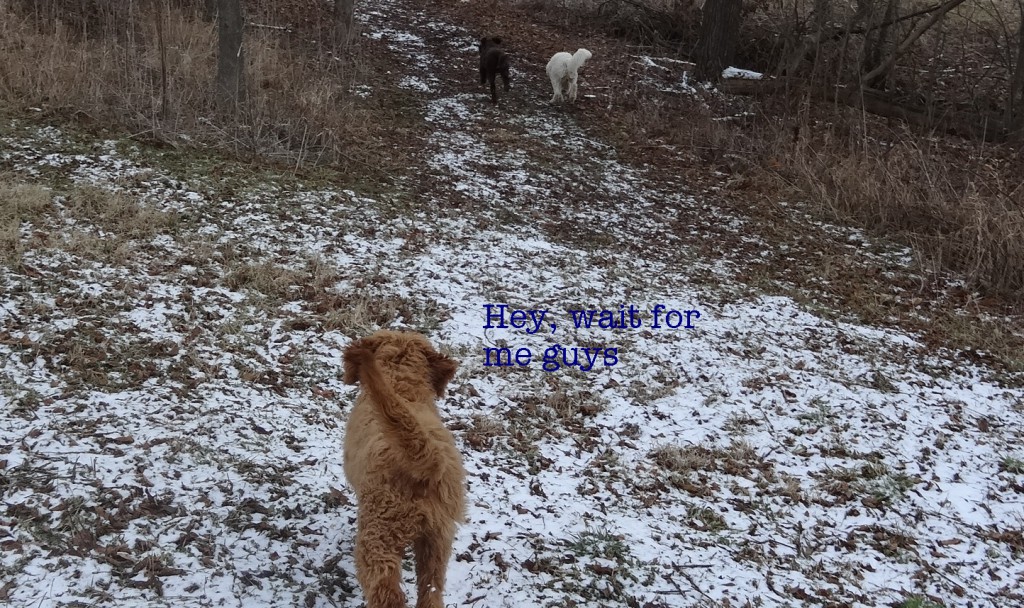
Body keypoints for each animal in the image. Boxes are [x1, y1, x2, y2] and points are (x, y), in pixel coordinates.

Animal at [342, 331, 466, 605]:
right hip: (438, 541)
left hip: (379, 534)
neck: (402, 387)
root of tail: (427, 461)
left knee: (387, 592)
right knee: (431, 593)